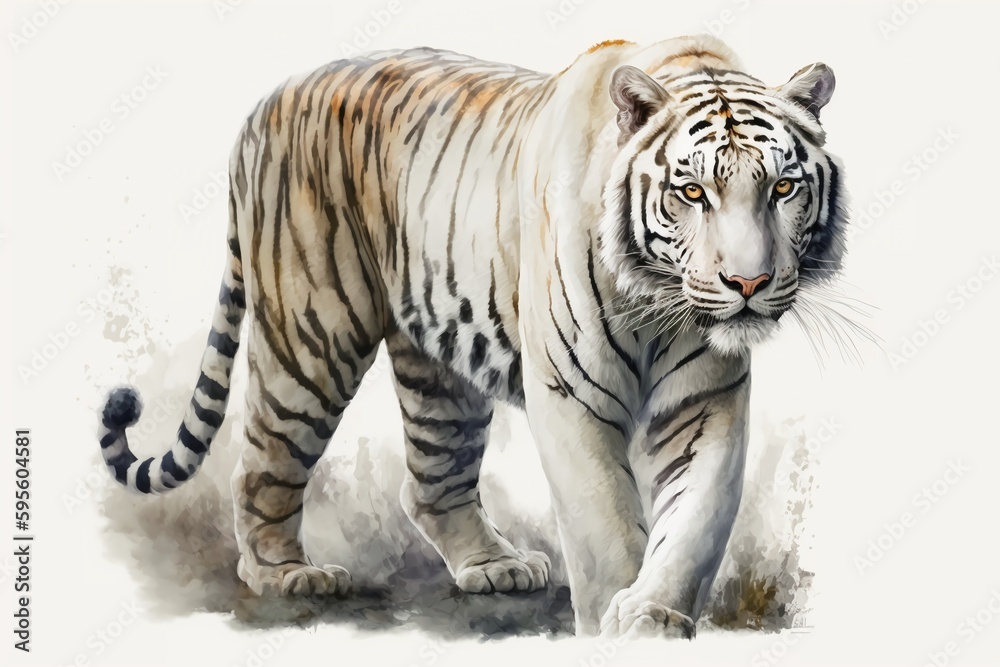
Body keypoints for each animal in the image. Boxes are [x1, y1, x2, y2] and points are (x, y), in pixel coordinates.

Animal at [97, 33, 846, 639]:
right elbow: (603, 521)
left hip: (439, 372)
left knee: (432, 480)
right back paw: (285, 573)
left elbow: (697, 516)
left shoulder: (704, 400)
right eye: (693, 193)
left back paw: (494, 564)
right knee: (262, 463)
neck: (659, 306)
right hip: (310, 336)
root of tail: (266, 102)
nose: (747, 282)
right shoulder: (571, 395)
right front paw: (609, 619)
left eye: (783, 188)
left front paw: (653, 615)